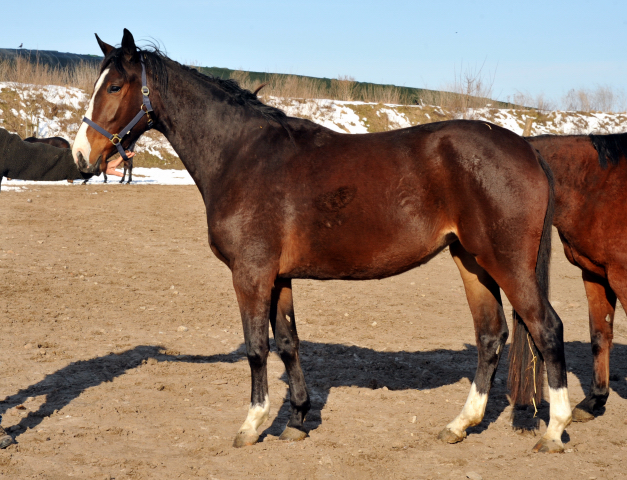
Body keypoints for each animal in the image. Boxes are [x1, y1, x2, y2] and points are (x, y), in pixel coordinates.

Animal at [71, 31, 572, 454]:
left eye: (114, 87)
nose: (81, 155)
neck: (243, 156)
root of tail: (528, 149)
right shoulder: (278, 278)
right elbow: (288, 343)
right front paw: (296, 419)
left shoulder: (251, 275)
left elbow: (256, 348)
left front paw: (252, 425)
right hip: (471, 261)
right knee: (492, 335)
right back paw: (460, 425)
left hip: (507, 264)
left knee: (547, 329)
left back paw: (554, 430)